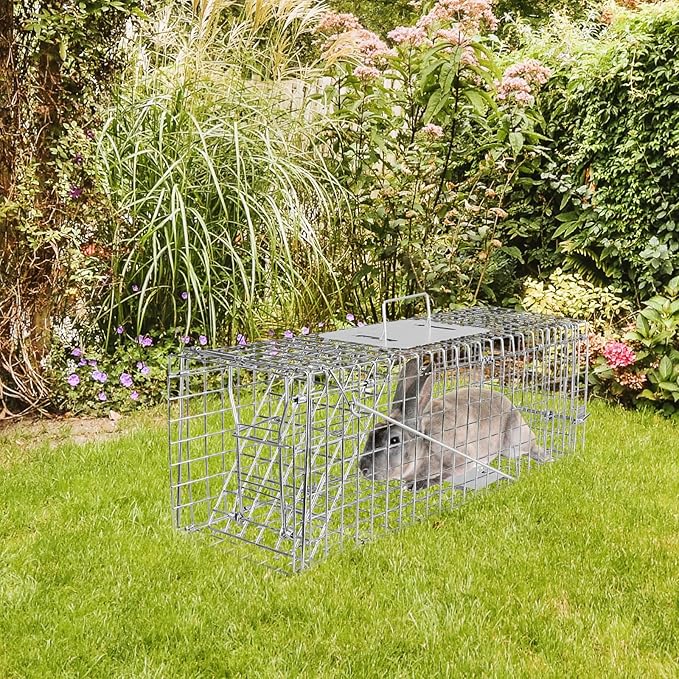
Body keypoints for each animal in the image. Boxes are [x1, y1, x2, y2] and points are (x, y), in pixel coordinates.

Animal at [359, 358, 551, 490]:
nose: (363, 469)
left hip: (513, 443)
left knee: (531, 448)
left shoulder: (460, 458)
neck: (424, 443)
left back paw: (547, 458)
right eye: (371, 433)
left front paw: (418, 486)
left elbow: (446, 474)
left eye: (394, 440)